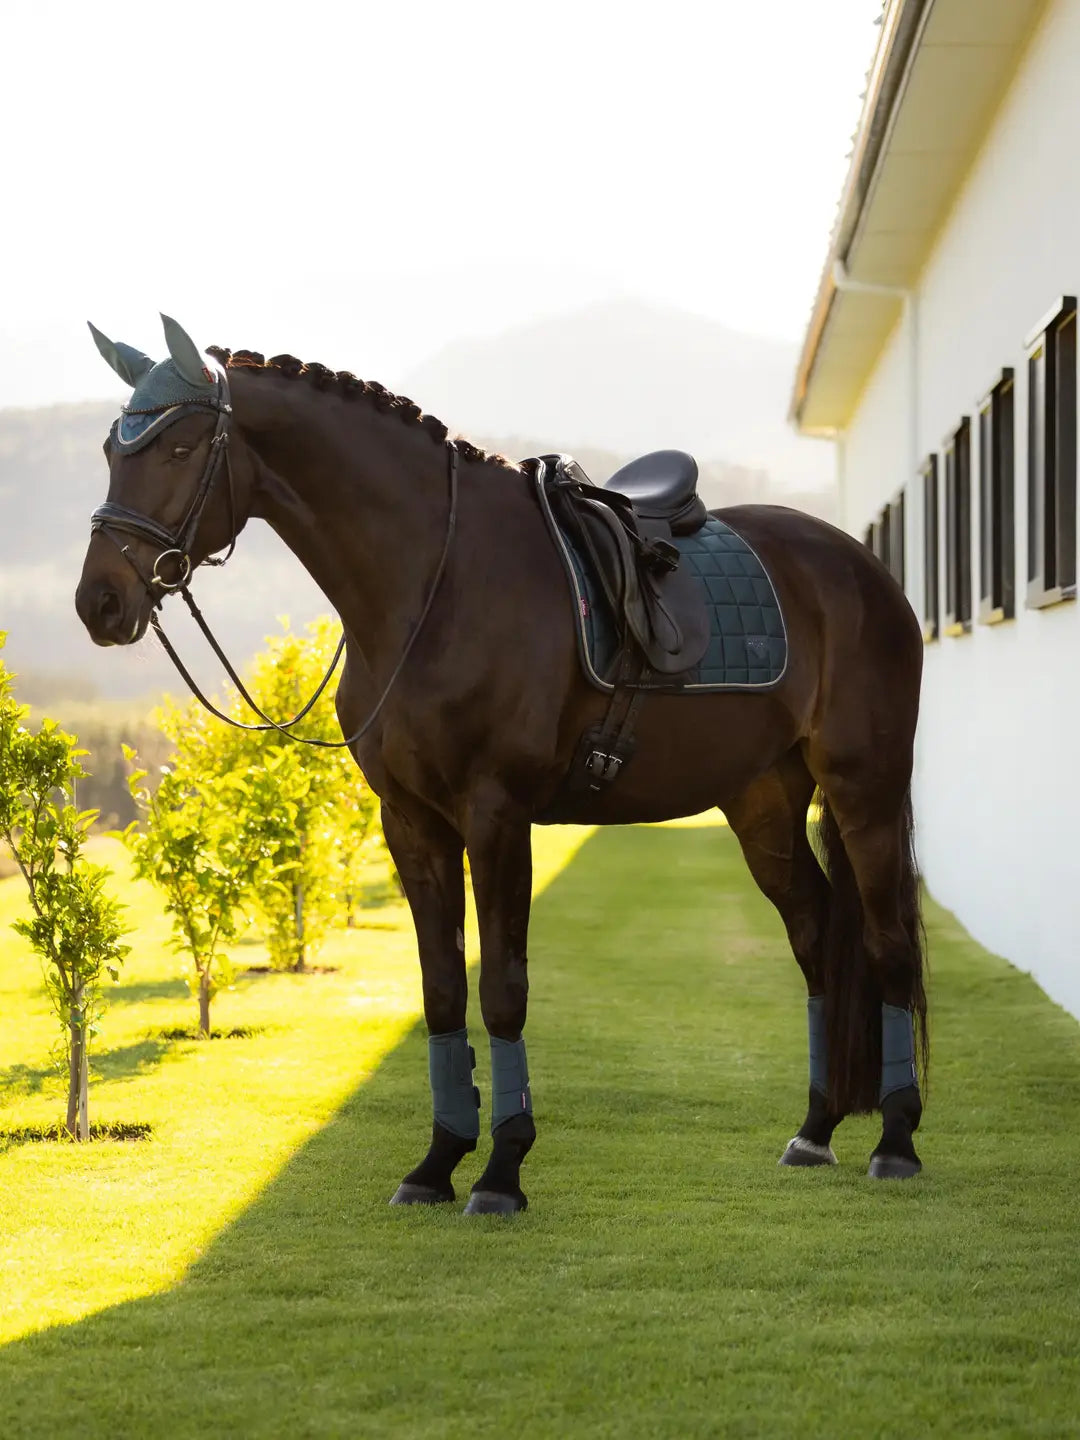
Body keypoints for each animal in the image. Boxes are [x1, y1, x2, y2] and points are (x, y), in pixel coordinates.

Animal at [75, 315, 927, 1214]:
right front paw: (437, 1161)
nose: (101, 602)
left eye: (177, 449)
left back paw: (897, 1140)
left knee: (887, 945)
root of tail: (861, 568)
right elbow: (443, 989)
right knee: (816, 937)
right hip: (763, 803)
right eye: (112, 449)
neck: (434, 585)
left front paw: (502, 1169)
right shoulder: (411, 823)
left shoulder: (497, 817)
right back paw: (816, 1129)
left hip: (865, 791)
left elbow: (502, 991)